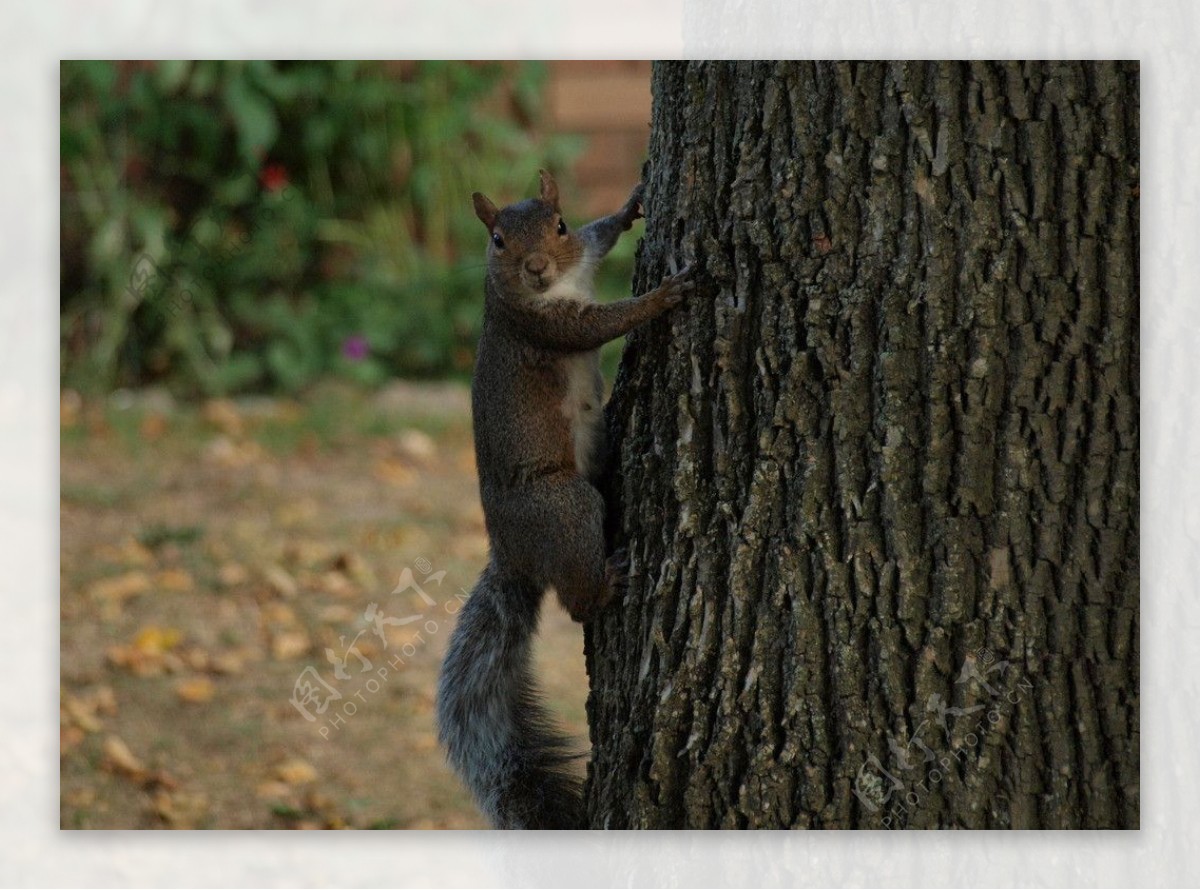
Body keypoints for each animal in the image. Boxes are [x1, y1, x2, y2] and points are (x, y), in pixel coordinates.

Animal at [434, 170, 696, 834]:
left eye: (558, 225)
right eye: (496, 240)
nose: (534, 268)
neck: (553, 288)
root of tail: (513, 552)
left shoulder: (583, 259)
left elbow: (600, 238)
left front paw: (629, 207)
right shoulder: (547, 326)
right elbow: (601, 324)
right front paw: (662, 297)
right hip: (565, 506)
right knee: (576, 603)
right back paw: (607, 584)